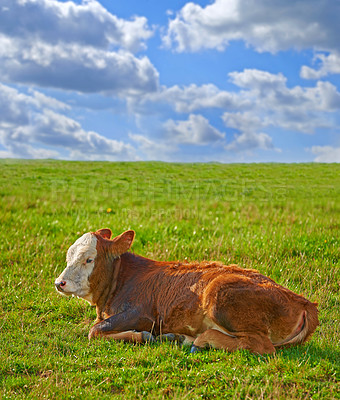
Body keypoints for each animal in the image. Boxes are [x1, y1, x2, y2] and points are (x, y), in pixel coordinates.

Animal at [55, 228, 318, 354]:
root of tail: (303, 301)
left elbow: (95, 331)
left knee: (261, 346)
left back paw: (201, 340)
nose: (60, 283)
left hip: (220, 296)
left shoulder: (144, 315)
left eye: (89, 259)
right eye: (69, 255)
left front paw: (143, 336)